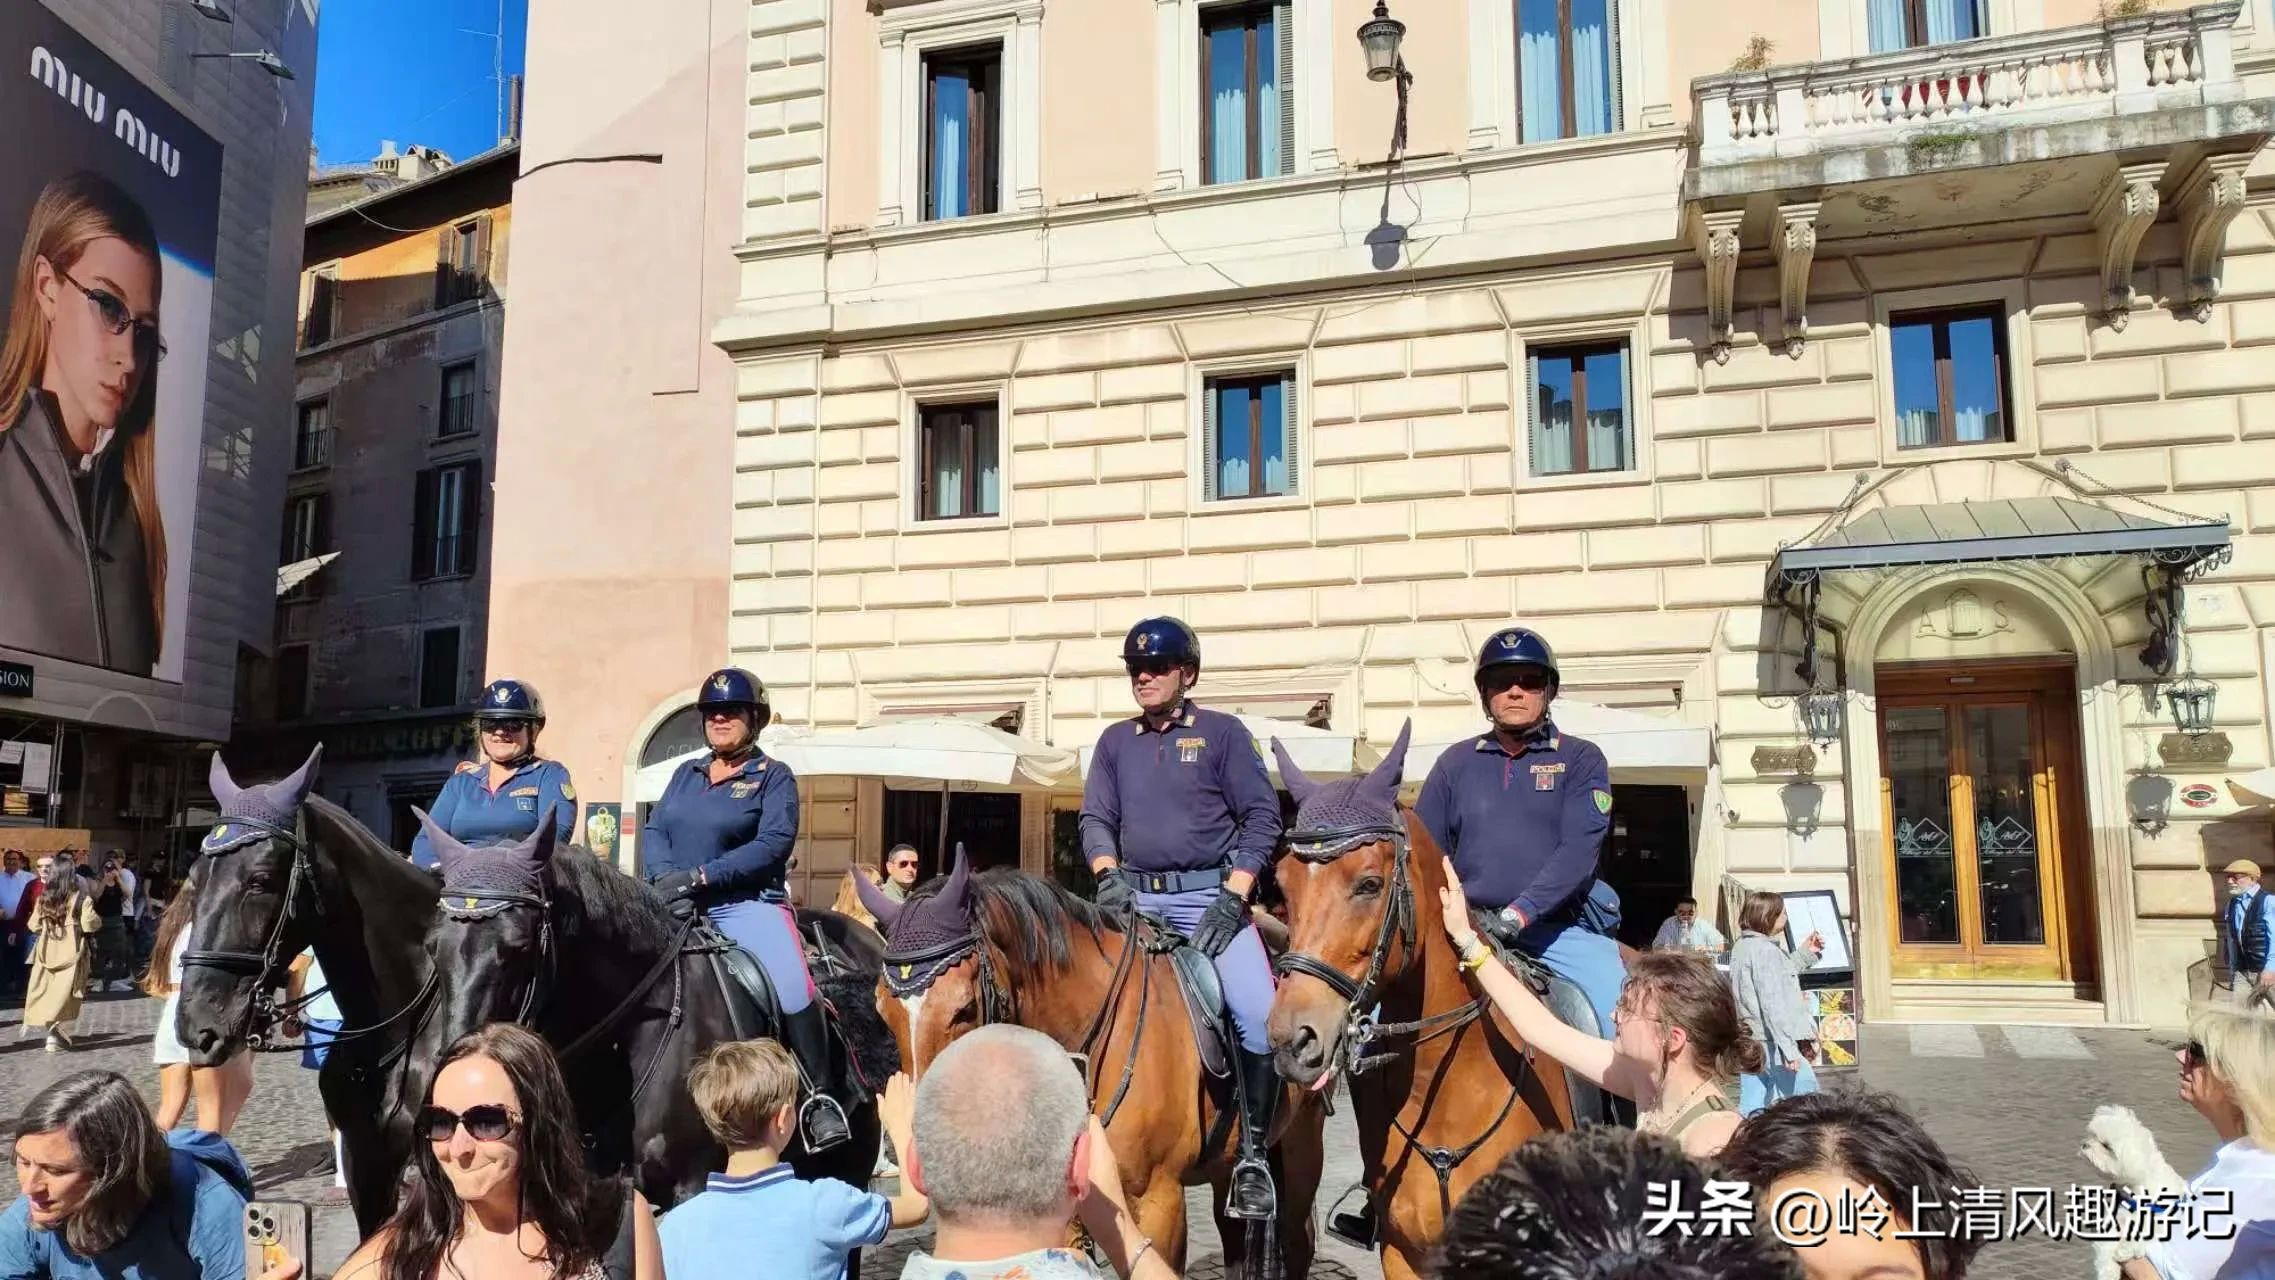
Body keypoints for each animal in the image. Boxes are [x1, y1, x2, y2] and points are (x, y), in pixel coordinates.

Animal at [2079, 1104, 2188, 1280]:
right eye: (2093, 1135)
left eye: (2106, 1146)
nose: (2085, 1144)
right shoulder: (2115, 1219)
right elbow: (2105, 1247)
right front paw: (2108, 1272)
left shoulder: (2161, 1220)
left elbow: (2146, 1233)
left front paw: (2125, 1250)